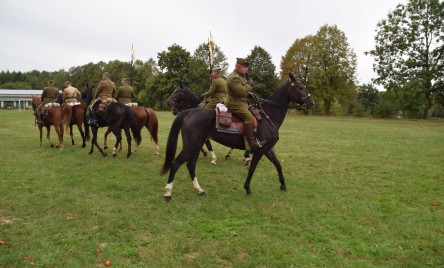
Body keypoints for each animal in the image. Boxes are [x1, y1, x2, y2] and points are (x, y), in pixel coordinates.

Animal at [161, 72, 314, 200]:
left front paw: (282, 185)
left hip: (196, 145)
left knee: (190, 165)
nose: (311, 103)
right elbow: (252, 168)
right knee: (176, 164)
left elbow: (278, 165)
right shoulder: (260, 150)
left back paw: (199, 190)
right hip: (191, 146)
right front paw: (247, 188)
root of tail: (188, 112)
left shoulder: (268, 149)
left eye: (177, 91)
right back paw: (168, 193)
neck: (268, 115)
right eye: (301, 87)